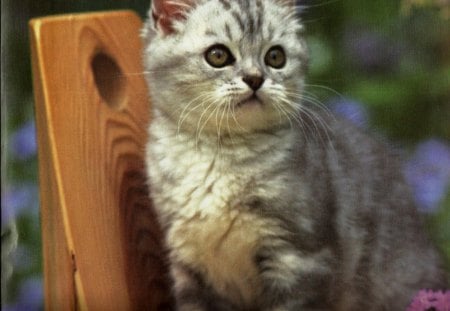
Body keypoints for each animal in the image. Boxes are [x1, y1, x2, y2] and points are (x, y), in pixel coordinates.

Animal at [142, 0, 446, 310]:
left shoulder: (300, 258)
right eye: (218, 55)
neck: (222, 155)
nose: (255, 78)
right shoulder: (188, 265)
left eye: (275, 56)